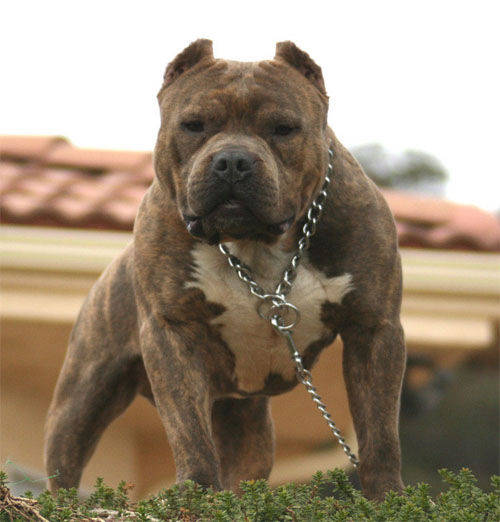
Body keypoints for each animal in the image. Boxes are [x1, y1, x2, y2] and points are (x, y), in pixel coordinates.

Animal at [45, 38, 406, 498]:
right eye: (194, 125)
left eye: (283, 128)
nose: (233, 160)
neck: (255, 246)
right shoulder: (172, 331)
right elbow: (189, 432)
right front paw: (195, 493)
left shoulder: (374, 329)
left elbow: (380, 430)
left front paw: (386, 496)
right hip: (83, 394)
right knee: (65, 464)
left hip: (245, 421)